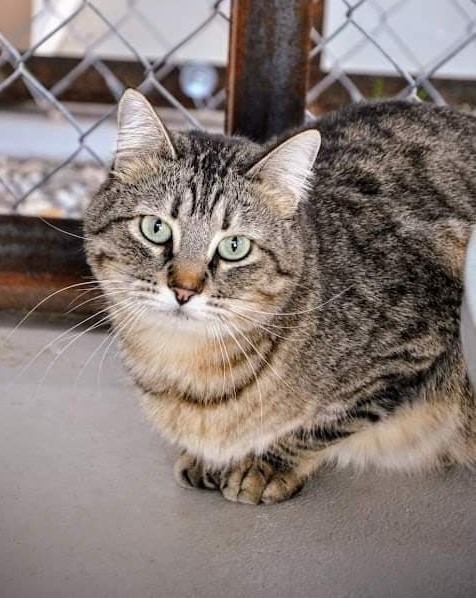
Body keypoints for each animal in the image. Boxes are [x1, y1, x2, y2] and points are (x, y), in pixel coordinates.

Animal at [83, 89, 476, 506]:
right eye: (155, 228)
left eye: (235, 246)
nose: (184, 290)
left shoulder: (417, 343)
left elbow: (324, 424)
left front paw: (265, 465)